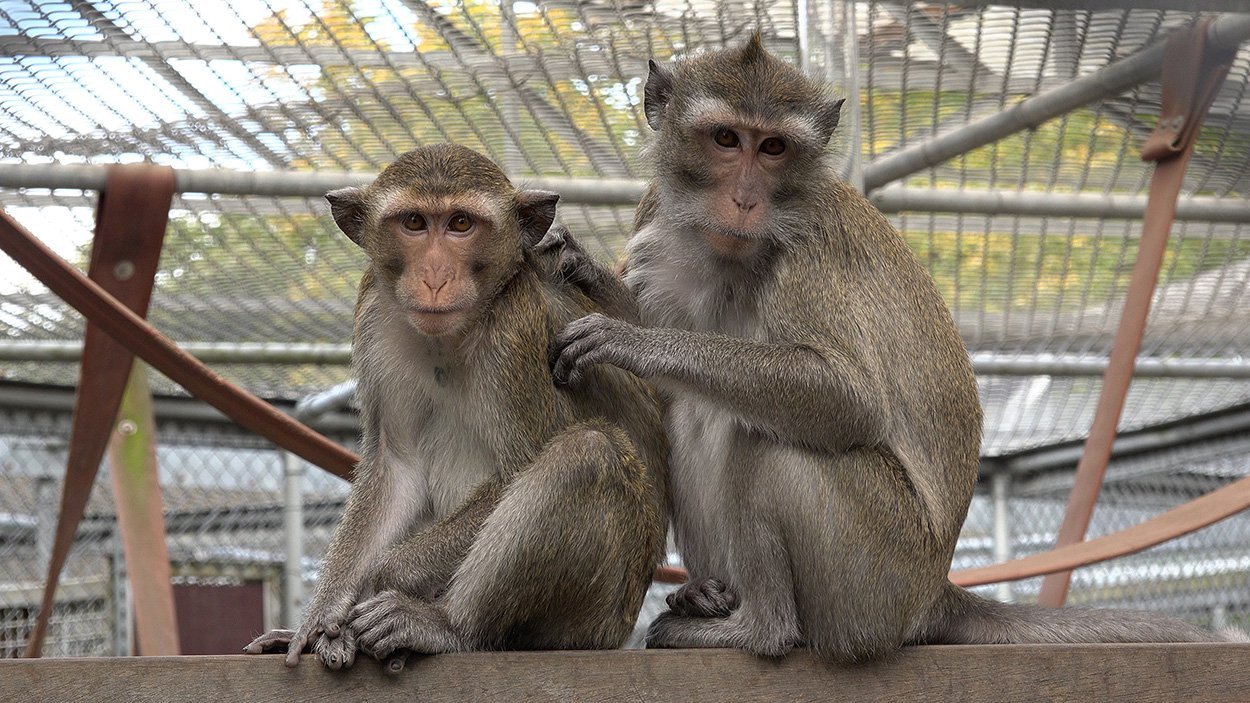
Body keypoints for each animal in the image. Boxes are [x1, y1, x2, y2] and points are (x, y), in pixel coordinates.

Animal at [243, 144, 669, 669]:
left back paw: (448, 625)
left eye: (461, 224)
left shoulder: (514, 328)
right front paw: (320, 618)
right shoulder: (375, 314)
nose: (434, 277)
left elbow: (519, 466)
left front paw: (385, 575)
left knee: (588, 452)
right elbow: (395, 466)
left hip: (598, 617)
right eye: (414, 223)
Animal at [548, 35, 1227, 662]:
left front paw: (629, 339)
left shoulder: (810, 246)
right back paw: (710, 597)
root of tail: (932, 594)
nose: (745, 200)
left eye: (773, 148)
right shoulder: (655, 213)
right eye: (725, 139)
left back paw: (759, 629)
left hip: (876, 575)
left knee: (765, 433)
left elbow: (848, 398)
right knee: (693, 409)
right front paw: (591, 277)